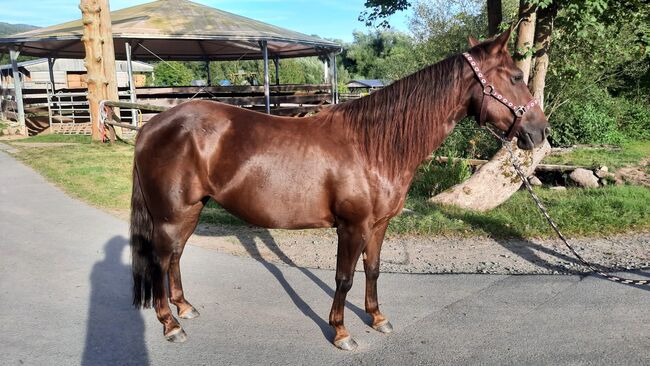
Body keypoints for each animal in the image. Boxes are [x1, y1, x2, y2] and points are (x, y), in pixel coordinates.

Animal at [130, 30, 548, 350]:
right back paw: (171, 324)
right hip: (171, 215)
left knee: (175, 256)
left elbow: (373, 269)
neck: (372, 145)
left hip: (191, 210)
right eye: (515, 77)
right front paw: (342, 332)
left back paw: (185, 308)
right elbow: (344, 278)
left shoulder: (378, 225)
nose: (540, 132)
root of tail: (152, 127)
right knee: (159, 260)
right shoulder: (352, 226)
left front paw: (377, 317)